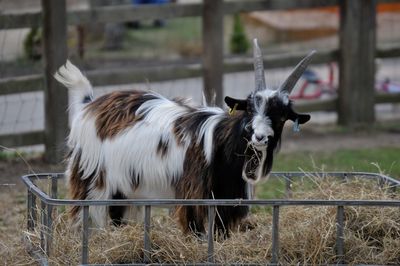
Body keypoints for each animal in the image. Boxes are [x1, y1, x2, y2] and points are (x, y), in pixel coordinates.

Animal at [54, 38, 314, 236]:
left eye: (281, 116)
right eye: (249, 108)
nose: (259, 137)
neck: (221, 144)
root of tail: (89, 104)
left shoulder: (226, 199)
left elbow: (220, 233)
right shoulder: (193, 194)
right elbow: (196, 230)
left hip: (124, 188)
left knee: (118, 215)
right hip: (92, 178)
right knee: (86, 214)